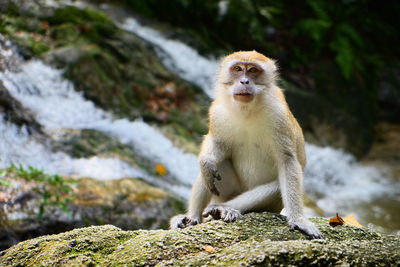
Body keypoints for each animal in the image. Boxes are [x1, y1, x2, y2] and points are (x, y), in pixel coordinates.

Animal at [170, 50, 324, 241]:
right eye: (237, 69)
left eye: (253, 70)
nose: (244, 81)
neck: (247, 111)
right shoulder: (217, 111)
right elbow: (217, 144)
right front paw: (206, 162)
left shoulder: (279, 116)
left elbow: (287, 161)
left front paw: (298, 219)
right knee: (216, 167)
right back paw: (192, 218)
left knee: (277, 187)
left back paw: (223, 209)